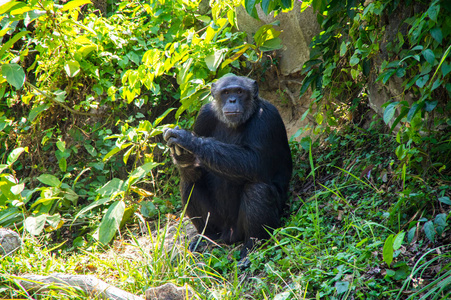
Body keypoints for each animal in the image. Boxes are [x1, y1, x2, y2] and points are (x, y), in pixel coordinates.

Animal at [162, 75, 294, 264]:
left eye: (239, 91)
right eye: (225, 93)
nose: (232, 100)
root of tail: (228, 235)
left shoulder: (266, 117)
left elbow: (255, 162)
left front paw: (186, 139)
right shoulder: (204, 115)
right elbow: (196, 171)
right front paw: (183, 156)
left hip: (241, 230)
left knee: (257, 190)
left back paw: (252, 248)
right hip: (219, 223)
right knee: (189, 183)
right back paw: (207, 237)